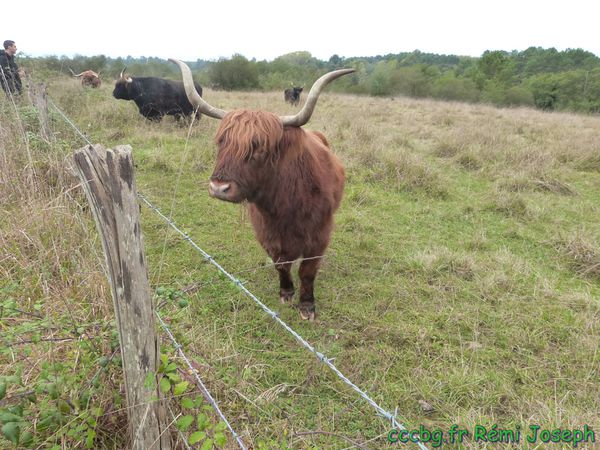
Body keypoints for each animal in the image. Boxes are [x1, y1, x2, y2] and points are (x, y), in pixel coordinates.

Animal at [171, 59, 354, 320]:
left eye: (259, 149)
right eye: (221, 142)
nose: (219, 187)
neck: (285, 204)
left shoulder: (319, 235)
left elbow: (307, 271)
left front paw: (307, 305)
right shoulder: (267, 233)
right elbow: (281, 264)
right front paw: (286, 293)